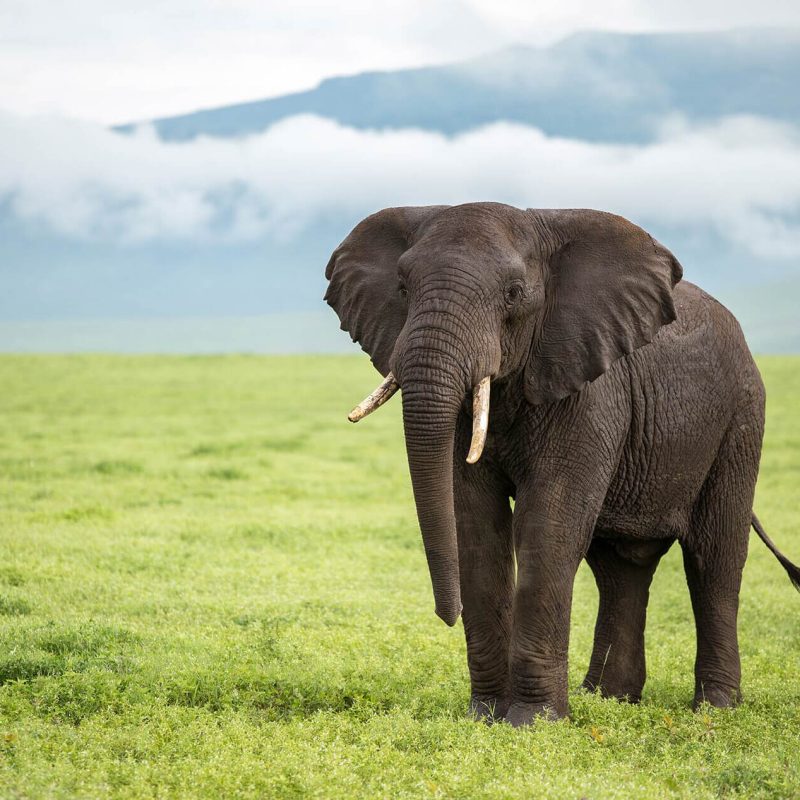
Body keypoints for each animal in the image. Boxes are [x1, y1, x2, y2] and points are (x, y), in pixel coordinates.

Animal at [324, 202, 800, 726]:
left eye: (514, 294)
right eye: (403, 289)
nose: (446, 616)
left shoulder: (590, 389)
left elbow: (548, 527)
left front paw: (531, 724)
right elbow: (476, 524)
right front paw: (485, 717)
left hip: (741, 417)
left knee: (714, 557)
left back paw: (714, 711)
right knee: (620, 566)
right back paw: (609, 700)